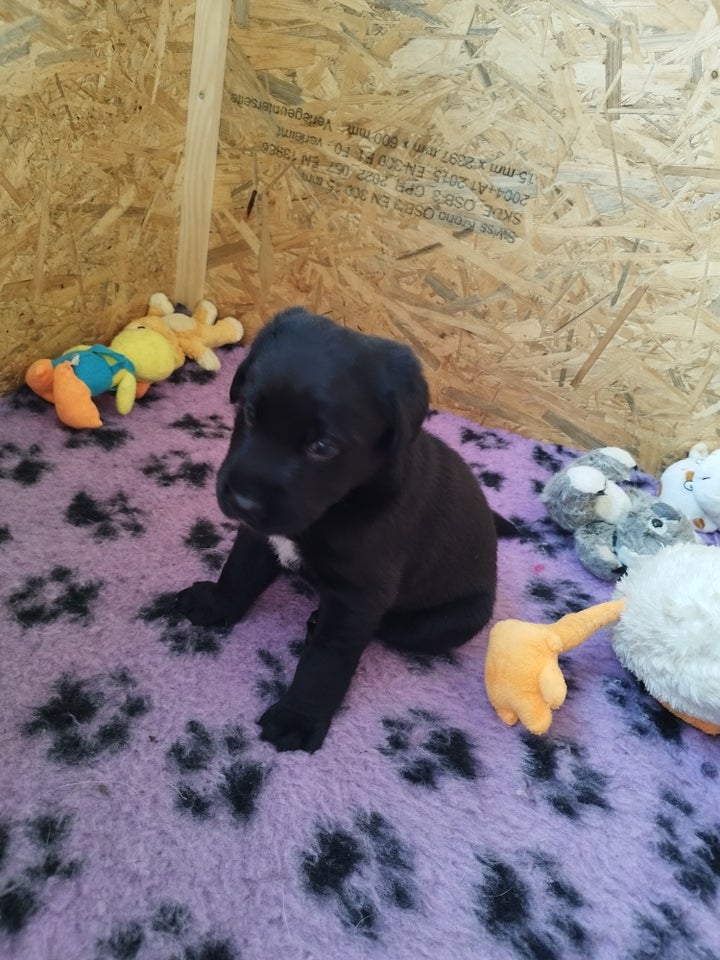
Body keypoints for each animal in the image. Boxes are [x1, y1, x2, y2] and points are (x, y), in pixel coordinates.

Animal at [177, 308, 498, 752]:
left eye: (323, 447)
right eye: (251, 412)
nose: (242, 501)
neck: (338, 506)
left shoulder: (358, 595)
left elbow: (327, 658)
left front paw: (298, 716)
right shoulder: (258, 536)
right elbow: (237, 573)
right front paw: (215, 604)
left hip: (456, 619)